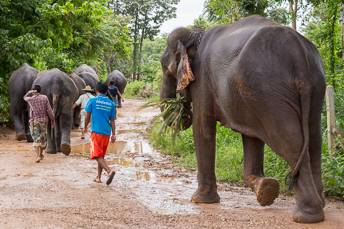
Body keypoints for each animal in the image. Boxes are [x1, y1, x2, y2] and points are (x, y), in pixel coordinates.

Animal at [160, 15, 326, 223]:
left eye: (164, 67)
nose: (181, 110)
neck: (195, 35)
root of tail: (299, 54)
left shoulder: (203, 82)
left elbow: (203, 127)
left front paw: (200, 201)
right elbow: (252, 137)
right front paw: (266, 189)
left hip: (269, 91)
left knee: (290, 142)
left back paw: (307, 216)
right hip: (311, 87)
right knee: (314, 140)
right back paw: (319, 205)